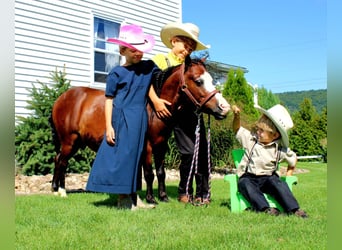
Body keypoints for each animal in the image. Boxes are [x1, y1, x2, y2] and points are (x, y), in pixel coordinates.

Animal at [50, 57, 230, 200]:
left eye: (211, 80)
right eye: (199, 81)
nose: (224, 108)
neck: (154, 108)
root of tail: (61, 99)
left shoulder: (161, 146)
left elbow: (161, 172)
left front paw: (163, 197)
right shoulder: (147, 146)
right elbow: (149, 174)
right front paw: (151, 198)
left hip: (76, 143)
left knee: (58, 159)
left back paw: (55, 189)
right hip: (69, 141)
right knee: (62, 161)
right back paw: (62, 191)